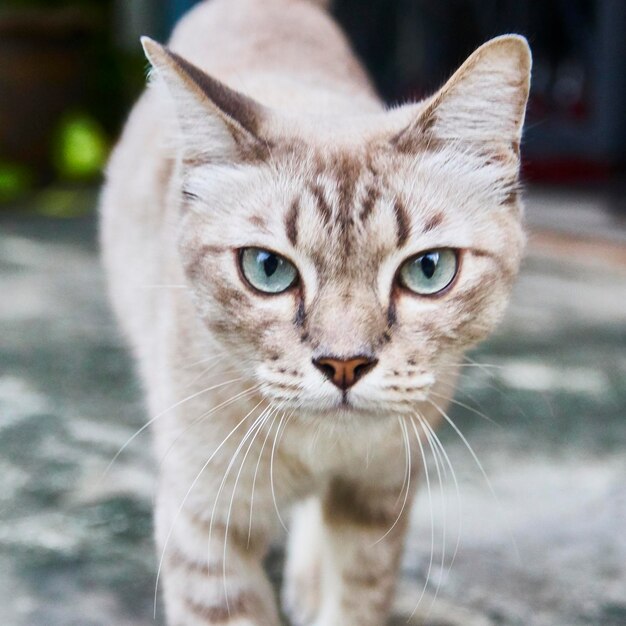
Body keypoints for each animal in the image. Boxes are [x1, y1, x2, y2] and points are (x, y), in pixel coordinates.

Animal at [100, 0, 528, 620]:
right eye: (267, 269)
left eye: (428, 270)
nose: (344, 365)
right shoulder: (204, 526)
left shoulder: (380, 495)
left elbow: (358, 598)